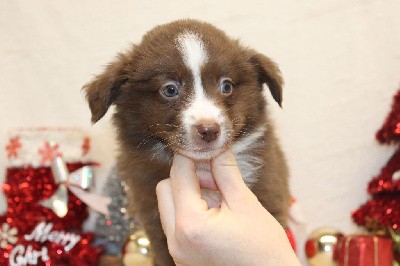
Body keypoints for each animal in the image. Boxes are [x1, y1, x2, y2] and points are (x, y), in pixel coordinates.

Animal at [85, 19, 290, 266]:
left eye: (227, 86)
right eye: (170, 89)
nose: (209, 130)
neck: (202, 167)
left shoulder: (270, 196)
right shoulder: (156, 224)